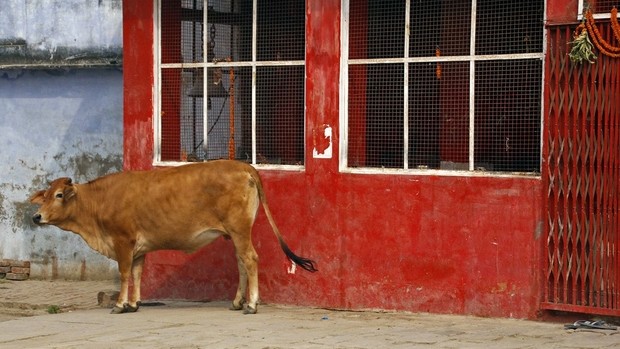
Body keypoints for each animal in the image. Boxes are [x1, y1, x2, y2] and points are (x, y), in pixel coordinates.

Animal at [29, 159, 318, 314]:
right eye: (44, 196)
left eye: (59, 195)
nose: (37, 217)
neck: (98, 203)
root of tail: (243, 165)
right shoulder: (138, 248)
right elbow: (137, 273)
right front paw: (134, 303)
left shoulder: (123, 242)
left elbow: (124, 273)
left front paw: (121, 304)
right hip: (235, 234)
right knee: (241, 262)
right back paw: (238, 301)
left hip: (239, 230)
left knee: (250, 259)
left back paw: (251, 304)